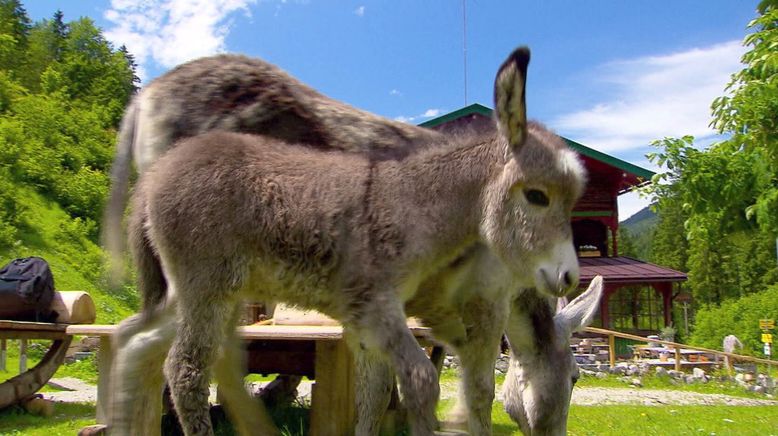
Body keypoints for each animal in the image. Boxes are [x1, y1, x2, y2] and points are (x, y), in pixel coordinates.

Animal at [118, 47, 584, 436]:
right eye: (537, 196)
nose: (569, 276)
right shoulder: (455, 307)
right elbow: (457, 387)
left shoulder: (383, 318)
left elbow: (380, 392)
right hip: (207, 286)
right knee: (188, 368)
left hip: (204, 290)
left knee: (142, 345)